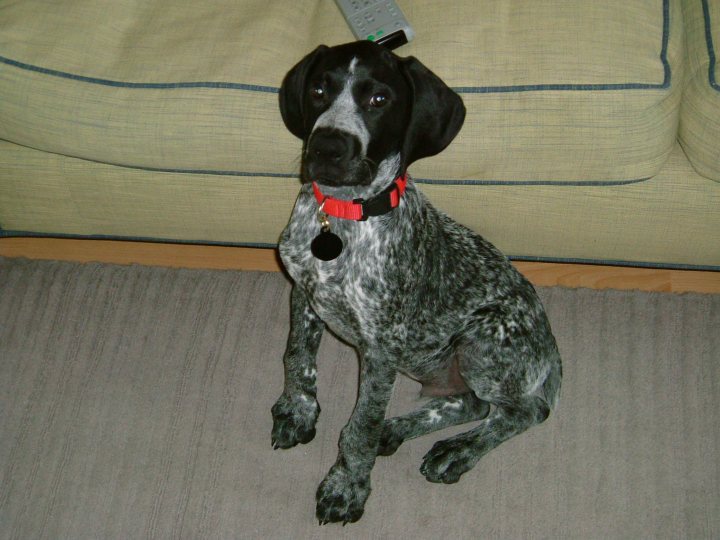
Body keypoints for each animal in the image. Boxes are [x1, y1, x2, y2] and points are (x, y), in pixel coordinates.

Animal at [274, 41, 564, 524]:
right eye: (318, 90)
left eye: (379, 99)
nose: (327, 147)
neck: (342, 217)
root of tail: (549, 339)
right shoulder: (304, 294)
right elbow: (298, 359)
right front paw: (298, 411)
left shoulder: (381, 348)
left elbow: (361, 425)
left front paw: (346, 485)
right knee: (472, 403)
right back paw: (400, 430)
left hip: (485, 341)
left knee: (525, 411)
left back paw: (457, 450)